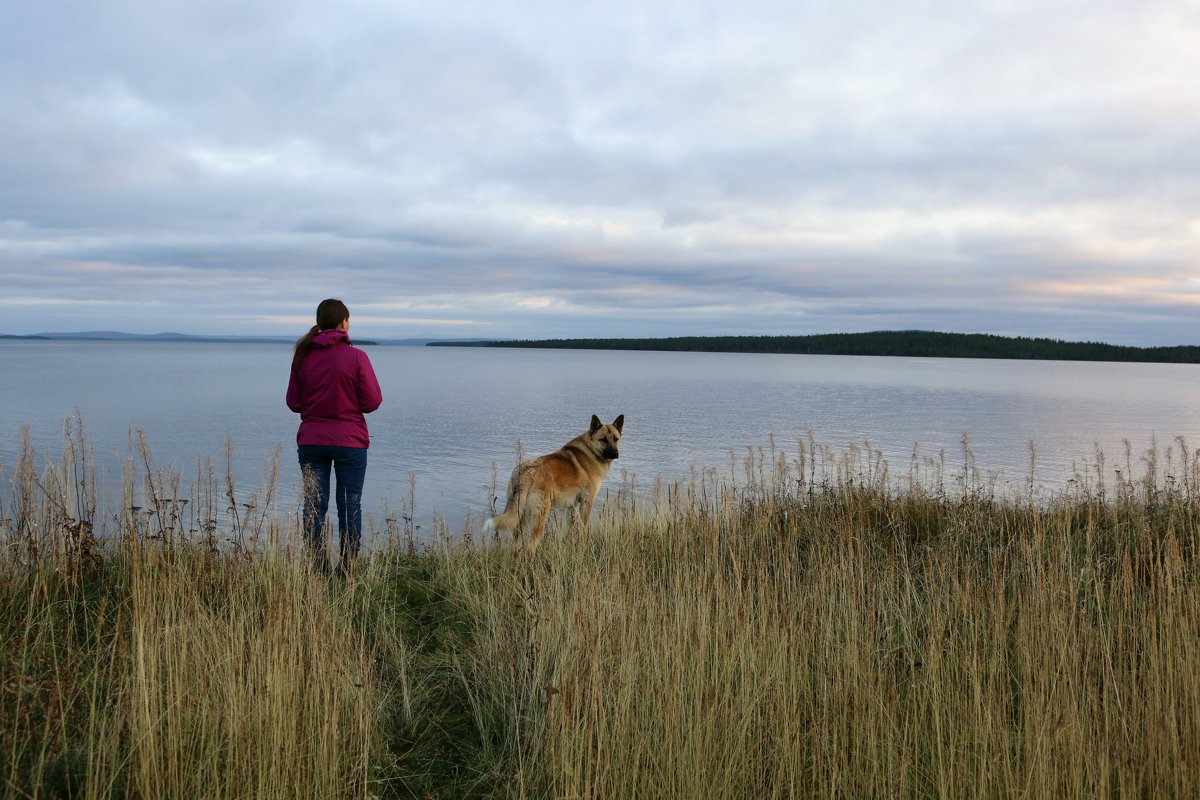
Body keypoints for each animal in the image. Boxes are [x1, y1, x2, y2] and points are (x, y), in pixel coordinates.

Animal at [482, 417, 624, 554]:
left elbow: (571, 528)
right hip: (539, 519)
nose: (615, 454)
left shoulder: (572, 506)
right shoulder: (586, 502)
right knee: (529, 549)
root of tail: (527, 471)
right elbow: (583, 528)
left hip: (520, 518)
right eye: (603, 439)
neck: (590, 450)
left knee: (516, 547)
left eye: (616, 439)